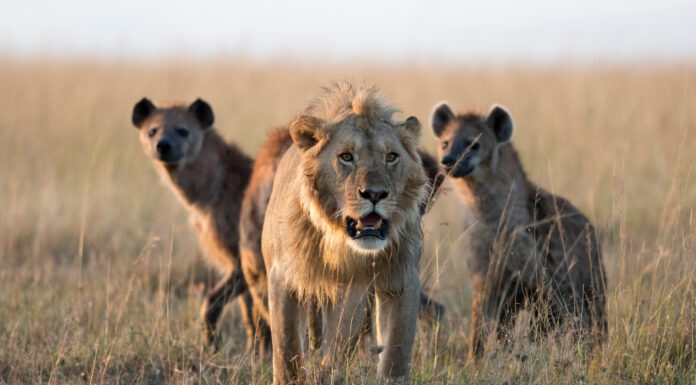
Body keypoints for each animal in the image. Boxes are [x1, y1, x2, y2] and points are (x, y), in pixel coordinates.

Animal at [260, 83, 430, 380]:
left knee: (337, 349)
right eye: (347, 157)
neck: (341, 243)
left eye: (391, 157)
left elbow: (395, 355)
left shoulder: (400, 278)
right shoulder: (283, 276)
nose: (375, 194)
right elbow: (286, 350)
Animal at [430, 101, 608, 356]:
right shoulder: (486, 277)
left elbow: (551, 326)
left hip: (591, 284)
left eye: (473, 144)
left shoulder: (549, 282)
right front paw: (476, 359)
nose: (448, 160)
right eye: (445, 142)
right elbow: (480, 328)